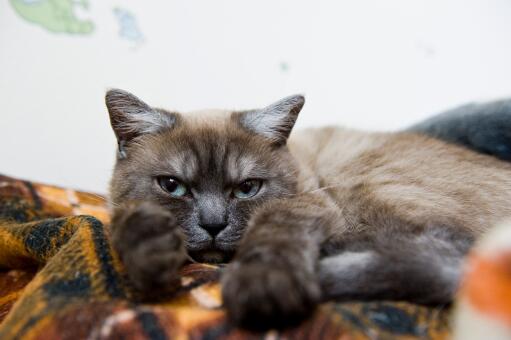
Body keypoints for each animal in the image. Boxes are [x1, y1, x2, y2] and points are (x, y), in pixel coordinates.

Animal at [105, 89, 511, 330]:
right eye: (172, 186)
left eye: (247, 188)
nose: (214, 224)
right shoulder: (124, 208)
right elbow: (127, 220)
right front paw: (152, 255)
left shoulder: (306, 205)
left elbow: (271, 237)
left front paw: (263, 288)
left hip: (370, 188)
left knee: (441, 261)